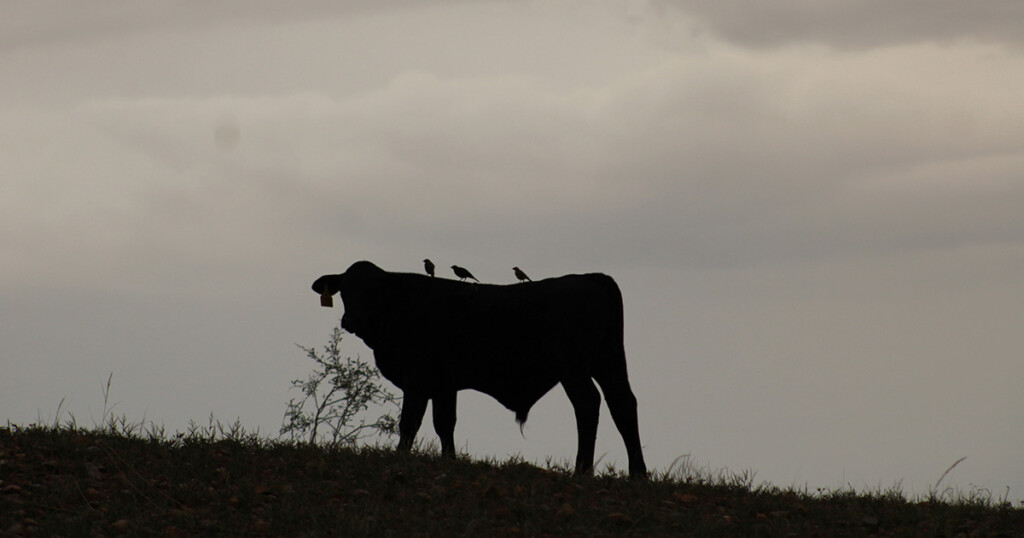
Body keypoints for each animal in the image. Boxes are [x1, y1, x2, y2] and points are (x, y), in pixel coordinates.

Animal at [311, 261, 648, 478]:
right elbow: (445, 423)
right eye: (345, 291)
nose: (351, 320)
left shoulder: (417, 379)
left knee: (588, 403)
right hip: (609, 360)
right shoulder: (444, 384)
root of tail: (591, 277)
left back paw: (583, 470)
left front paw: (400, 460)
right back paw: (638, 472)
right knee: (623, 404)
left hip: (574, 367)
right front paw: (449, 461)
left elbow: (409, 422)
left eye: (373, 291)